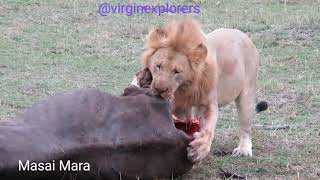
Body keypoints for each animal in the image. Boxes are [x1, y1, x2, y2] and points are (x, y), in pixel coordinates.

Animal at [135, 19, 268, 162]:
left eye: (177, 71)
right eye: (158, 66)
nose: (160, 89)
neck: (184, 89)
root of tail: (244, 35)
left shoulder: (208, 104)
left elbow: (208, 130)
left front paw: (199, 150)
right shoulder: (180, 107)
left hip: (246, 96)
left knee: (245, 127)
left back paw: (243, 149)